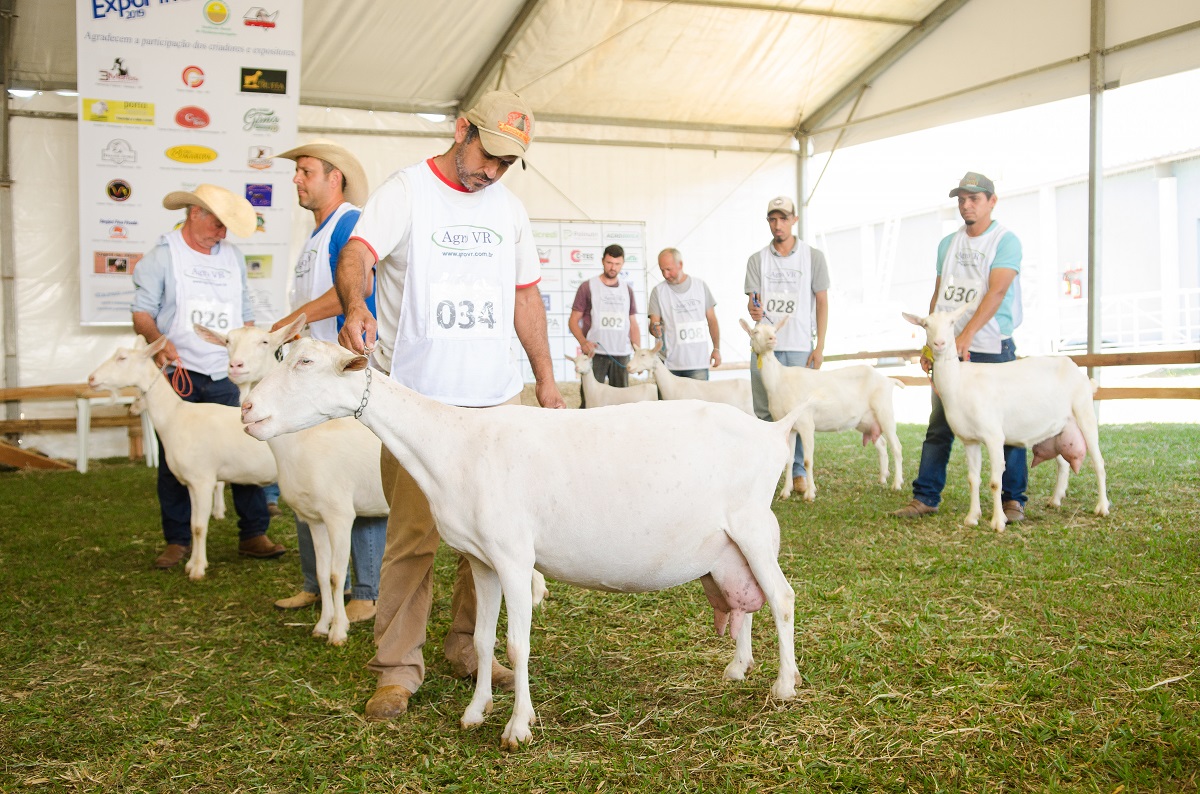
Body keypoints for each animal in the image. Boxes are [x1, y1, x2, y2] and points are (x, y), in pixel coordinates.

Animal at [242, 338, 807, 749]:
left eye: (307, 361)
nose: (247, 409)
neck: (451, 443)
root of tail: (773, 432)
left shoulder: (515, 557)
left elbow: (517, 643)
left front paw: (518, 727)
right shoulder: (483, 560)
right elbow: (482, 639)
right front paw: (475, 712)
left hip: (753, 526)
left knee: (781, 598)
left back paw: (783, 685)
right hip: (730, 546)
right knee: (747, 599)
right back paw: (738, 667)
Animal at [903, 305, 1110, 531]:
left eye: (951, 323)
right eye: (925, 325)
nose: (939, 344)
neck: (958, 382)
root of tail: (1081, 374)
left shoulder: (994, 436)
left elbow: (995, 482)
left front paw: (997, 522)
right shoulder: (969, 440)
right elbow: (973, 479)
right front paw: (972, 517)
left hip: (1084, 413)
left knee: (1099, 463)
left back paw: (1102, 508)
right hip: (1060, 428)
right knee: (1063, 464)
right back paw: (1055, 500)